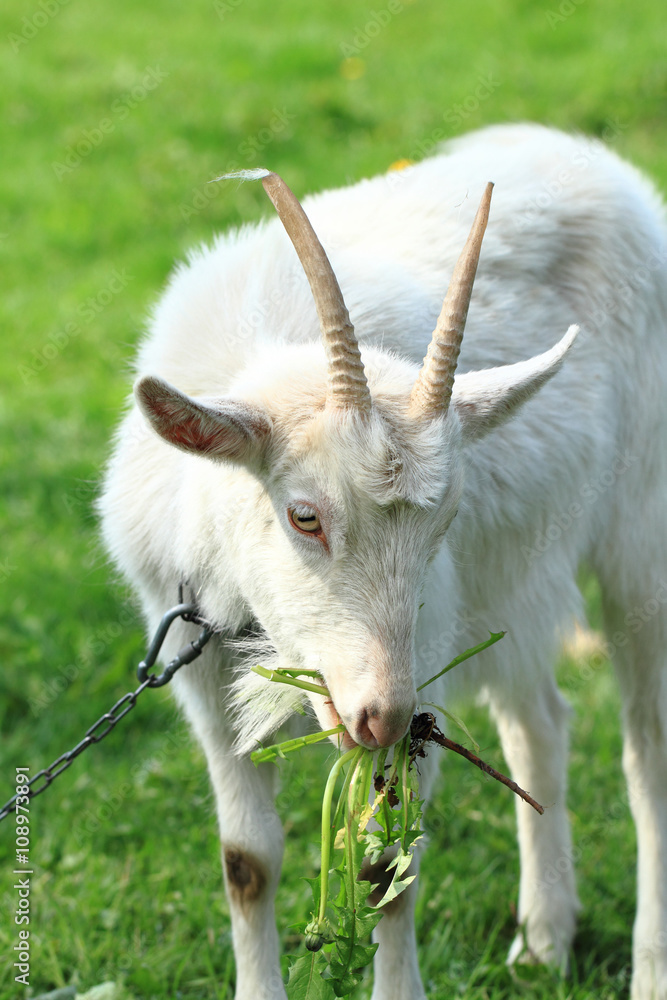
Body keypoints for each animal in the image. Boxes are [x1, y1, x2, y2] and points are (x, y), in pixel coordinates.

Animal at [99, 123, 667, 1000]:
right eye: (303, 516)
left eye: (443, 523)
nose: (377, 716)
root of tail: (586, 157)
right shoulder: (202, 668)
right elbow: (247, 863)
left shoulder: (424, 650)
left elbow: (386, 867)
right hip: (508, 575)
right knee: (539, 721)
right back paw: (543, 938)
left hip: (638, 530)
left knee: (646, 754)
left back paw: (647, 966)